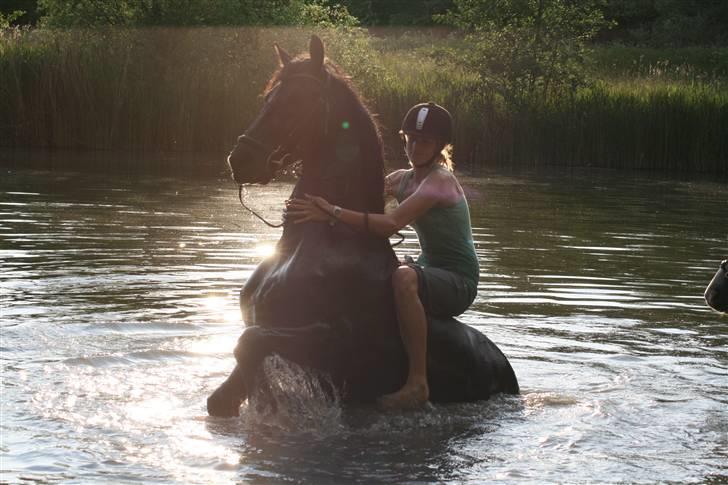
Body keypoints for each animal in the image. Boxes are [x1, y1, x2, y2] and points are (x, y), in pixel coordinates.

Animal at [208, 35, 520, 416]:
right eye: (268, 98)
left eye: (297, 100)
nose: (241, 160)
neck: (319, 242)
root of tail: (508, 370)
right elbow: (223, 391)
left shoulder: (329, 339)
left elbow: (248, 343)